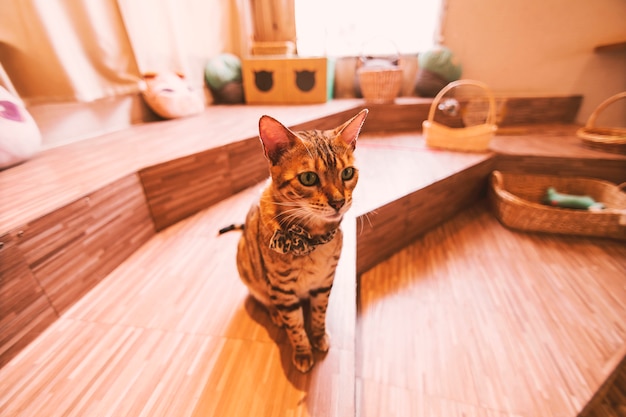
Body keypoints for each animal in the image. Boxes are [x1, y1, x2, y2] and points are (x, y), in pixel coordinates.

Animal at [229, 109, 366, 372]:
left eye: (347, 173)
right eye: (309, 178)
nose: (338, 202)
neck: (312, 239)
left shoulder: (324, 282)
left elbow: (319, 315)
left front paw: (319, 336)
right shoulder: (282, 290)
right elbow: (295, 326)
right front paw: (302, 351)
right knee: (264, 298)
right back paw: (275, 314)